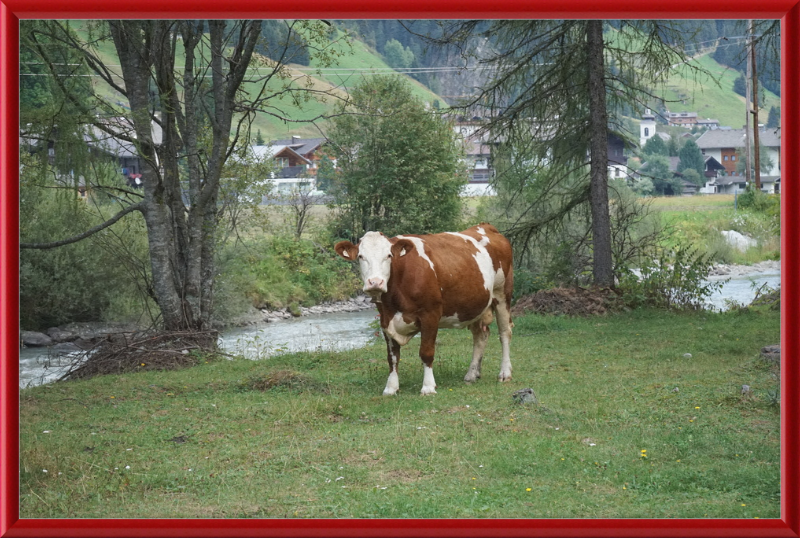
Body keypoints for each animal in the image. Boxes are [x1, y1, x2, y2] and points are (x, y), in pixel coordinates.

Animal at [334, 222, 516, 394]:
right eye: (361, 256)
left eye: (389, 256)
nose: (375, 282)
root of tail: (485, 226)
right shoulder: (385, 319)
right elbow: (392, 357)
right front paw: (391, 388)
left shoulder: (430, 315)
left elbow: (426, 353)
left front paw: (428, 387)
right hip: (475, 305)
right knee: (480, 336)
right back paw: (472, 374)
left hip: (502, 295)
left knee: (504, 333)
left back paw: (505, 373)